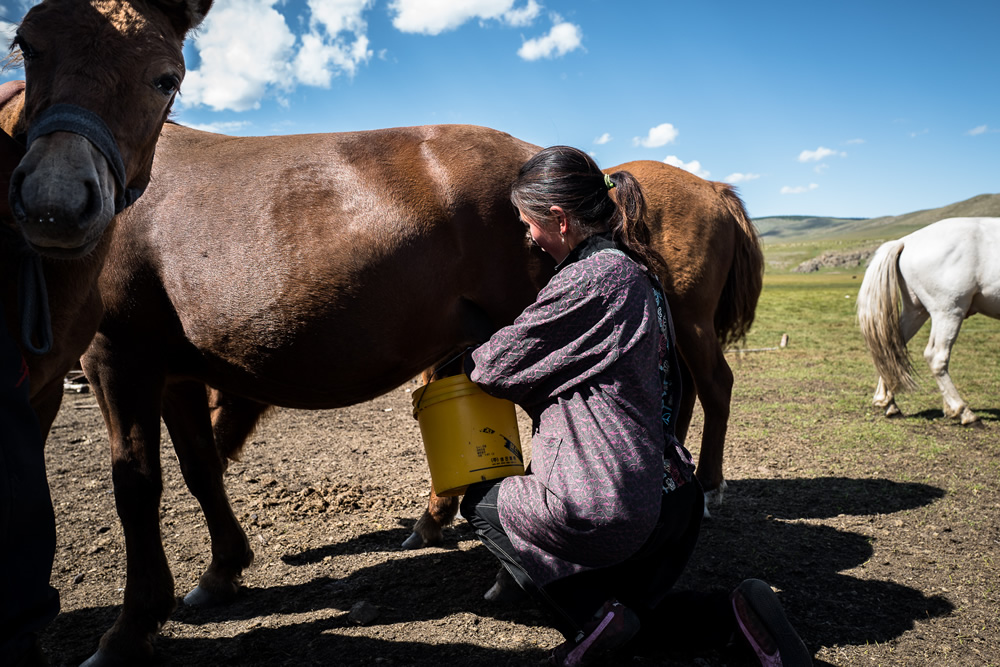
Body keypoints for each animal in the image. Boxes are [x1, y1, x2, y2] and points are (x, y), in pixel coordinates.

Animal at [82, 121, 760, 667]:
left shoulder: (117, 361)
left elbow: (137, 489)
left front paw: (128, 631)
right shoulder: (175, 375)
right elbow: (200, 469)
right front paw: (220, 573)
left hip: (681, 322)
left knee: (711, 387)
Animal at [856, 217, 1000, 426]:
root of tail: (906, 241)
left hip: (916, 310)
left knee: (889, 348)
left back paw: (888, 404)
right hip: (949, 311)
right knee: (936, 356)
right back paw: (964, 413)